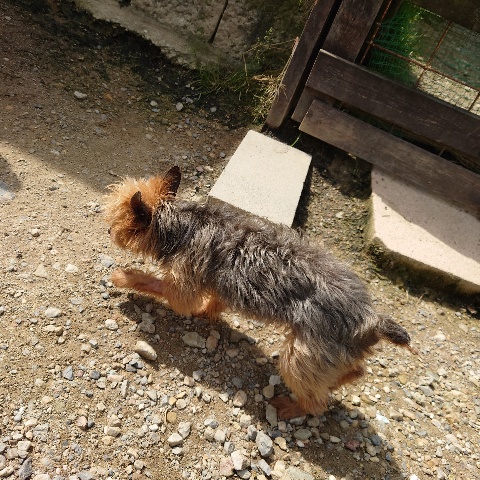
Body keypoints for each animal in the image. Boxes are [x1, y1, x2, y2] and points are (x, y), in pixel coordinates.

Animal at [105, 166, 415, 418]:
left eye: (117, 221)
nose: (108, 231)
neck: (181, 224)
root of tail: (372, 318)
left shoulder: (182, 285)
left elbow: (153, 283)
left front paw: (123, 277)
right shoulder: (216, 283)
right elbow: (215, 300)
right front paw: (207, 313)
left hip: (300, 357)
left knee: (316, 402)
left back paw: (288, 408)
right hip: (328, 355)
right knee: (355, 370)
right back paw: (340, 380)